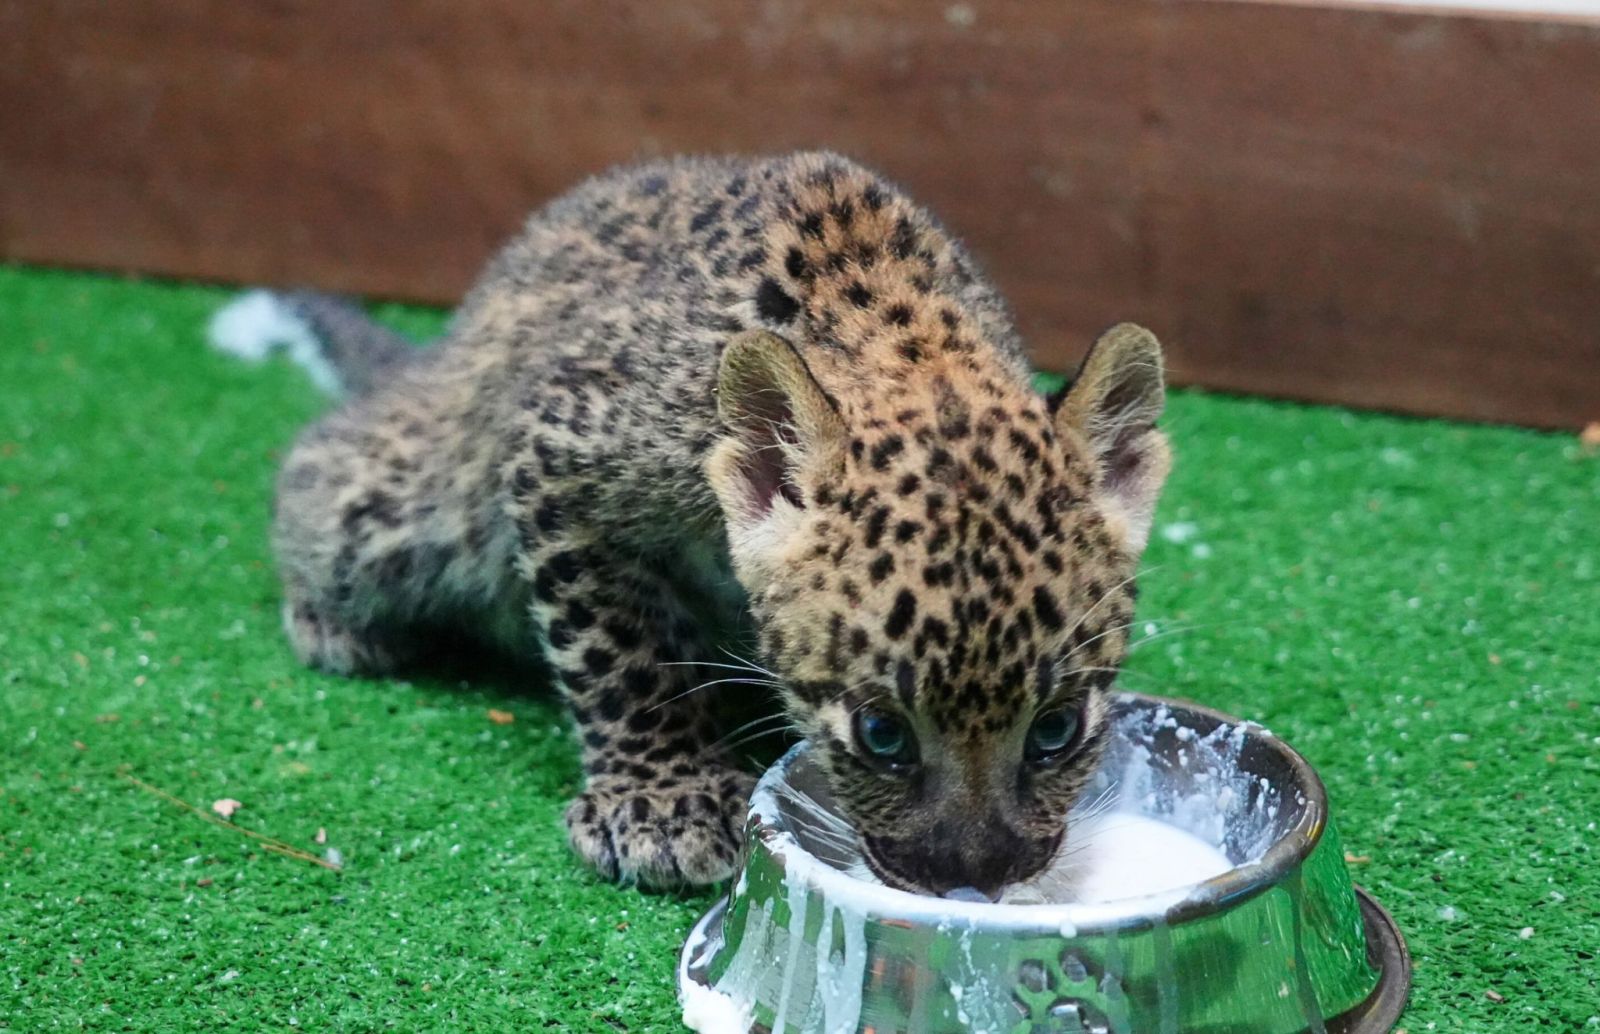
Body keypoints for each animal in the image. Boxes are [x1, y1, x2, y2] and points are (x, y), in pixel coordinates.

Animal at [214, 150, 1171, 899]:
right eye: (882, 736)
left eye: (1056, 730)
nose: (973, 882)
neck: (910, 349)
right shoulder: (558, 458)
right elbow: (622, 653)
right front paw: (665, 802)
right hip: (406, 504)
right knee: (321, 465)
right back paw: (333, 620)